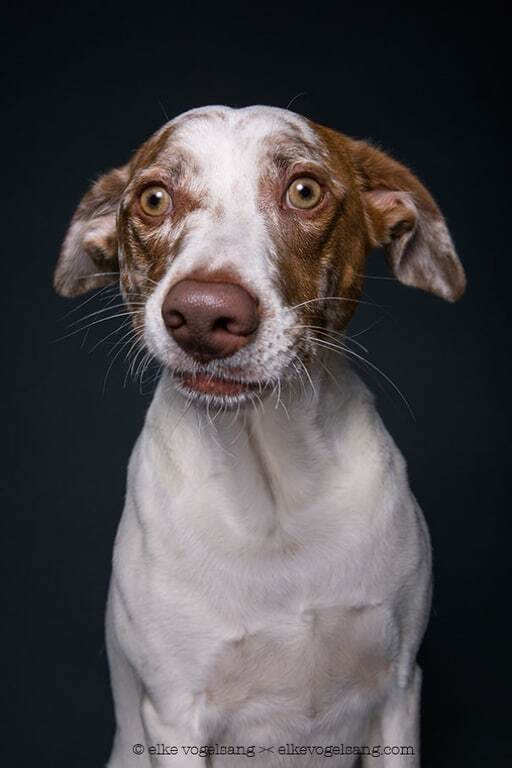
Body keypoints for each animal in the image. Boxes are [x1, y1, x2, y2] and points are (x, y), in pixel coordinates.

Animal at [54, 105, 466, 764]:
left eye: (304, 191)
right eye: (152, 198)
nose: (202, 315)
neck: (274, 490)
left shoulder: (400, 690)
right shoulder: (174, 716)